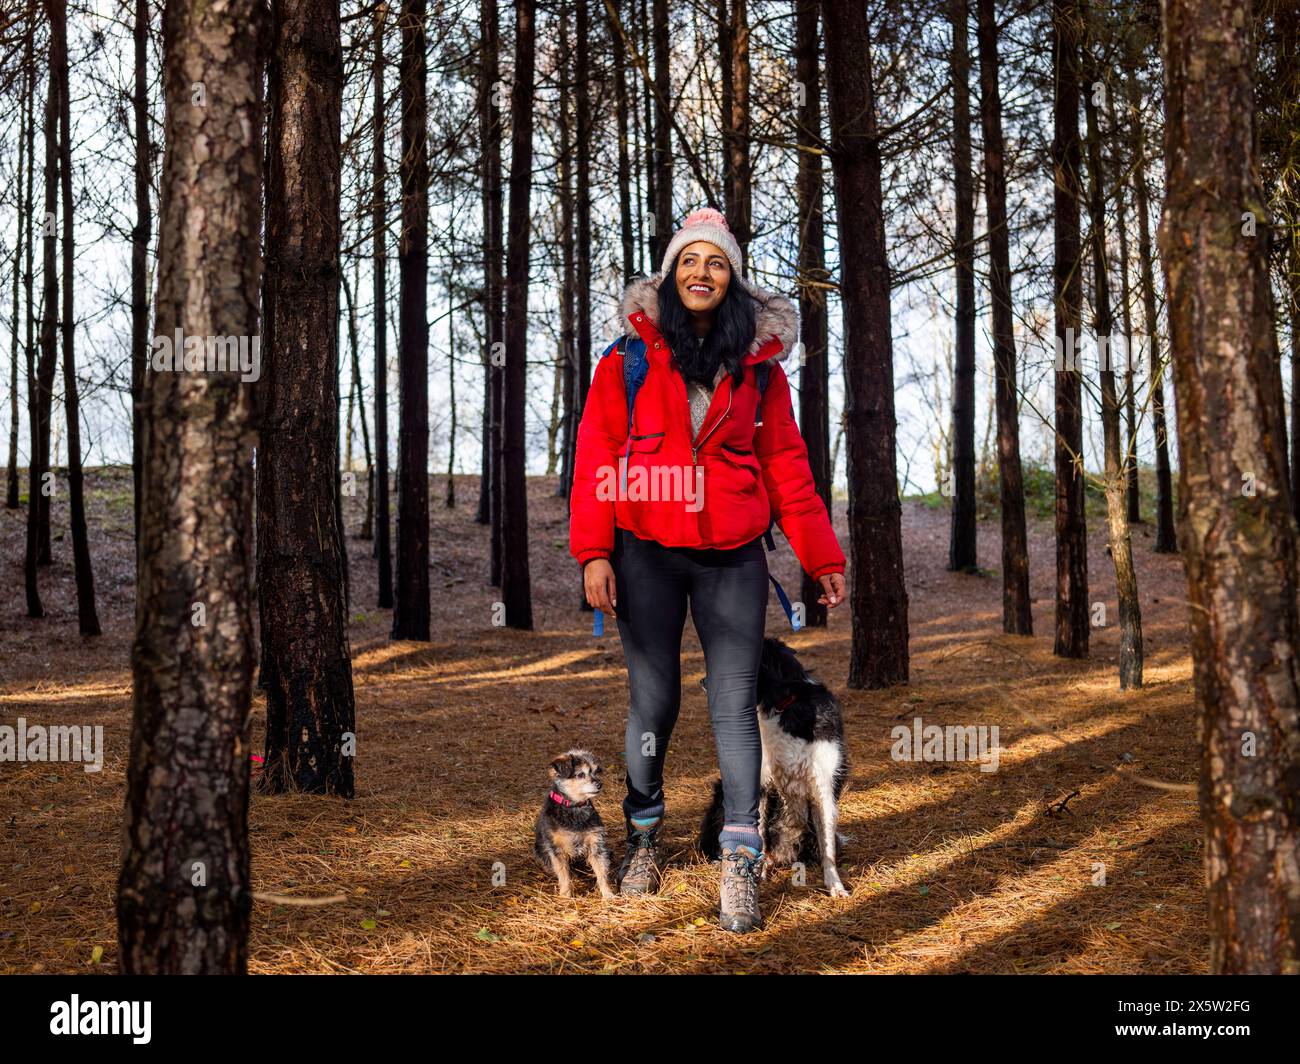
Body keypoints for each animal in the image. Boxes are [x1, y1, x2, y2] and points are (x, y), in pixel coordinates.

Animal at [533, 744, 613, 894]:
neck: (574, 808)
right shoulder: (557, 850)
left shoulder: (596, 844)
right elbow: (564, 876)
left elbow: (601, 872)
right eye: (581, 774)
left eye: (596, 772)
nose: (600, 784)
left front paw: (608, 894)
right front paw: (565, 895)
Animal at [702, 637, 852, 894]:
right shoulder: (761, 784)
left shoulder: (825, 785)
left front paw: (834, 885)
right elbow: (758, 835)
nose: (702, 682)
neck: (783, 706)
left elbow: (828, 846)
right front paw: (756, 877)